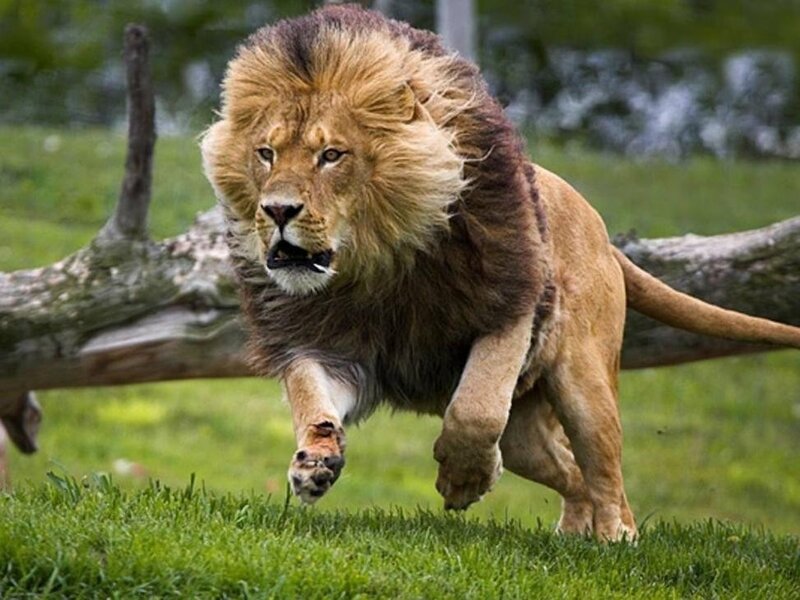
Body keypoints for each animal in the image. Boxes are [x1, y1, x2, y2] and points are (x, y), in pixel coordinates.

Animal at [201, 5, 800, 540]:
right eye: (266, 153)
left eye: (331, 155)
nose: (277, 211)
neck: (375, 265)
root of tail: (602, 232)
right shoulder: (325, 343)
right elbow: (311, 399)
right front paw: (314, 463)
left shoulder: (509, 306)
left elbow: (476, 409)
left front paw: (466, 480)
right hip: (528, 435)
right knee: (569, 469)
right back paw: (572, 532)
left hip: (585, 384)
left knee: (604, 470)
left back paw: (615, 538)